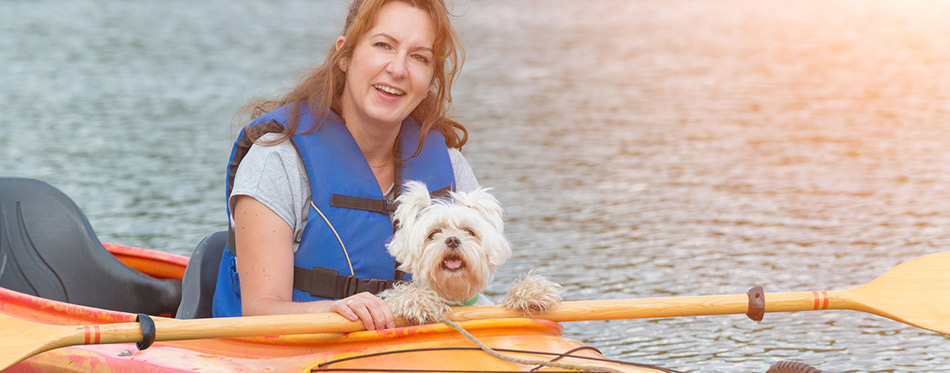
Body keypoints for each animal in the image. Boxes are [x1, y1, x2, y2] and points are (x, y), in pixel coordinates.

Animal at [380, 179, 560, 322]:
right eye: (433, 233)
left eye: (469, 231)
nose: (452, 240)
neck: (456, 299)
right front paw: (418, 301)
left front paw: (533, 292)